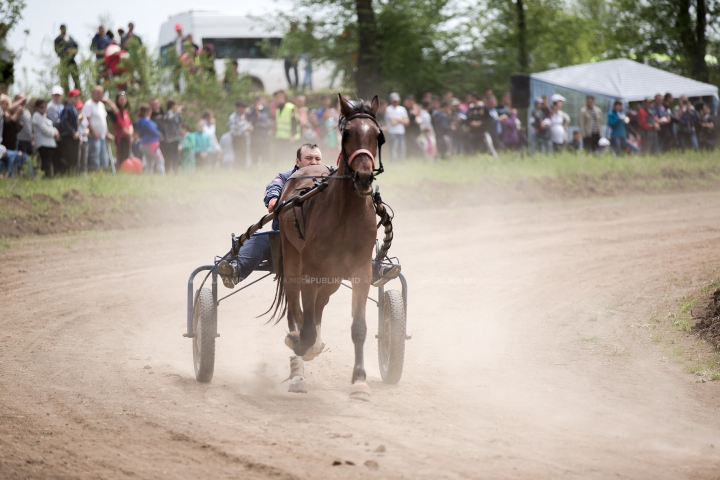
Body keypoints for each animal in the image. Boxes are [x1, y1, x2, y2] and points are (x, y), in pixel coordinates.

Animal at [272, 93, 380, 398]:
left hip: (332, 275)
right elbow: (305, 328)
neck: (345, 213)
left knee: (320, 303)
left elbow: (359, 327)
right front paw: (300, 344)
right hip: (292, 256)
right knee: (297, 305)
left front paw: (359, 381)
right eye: (347, 133)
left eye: (377, 135)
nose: (363, 177)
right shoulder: (310, 269)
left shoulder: (361, 271)